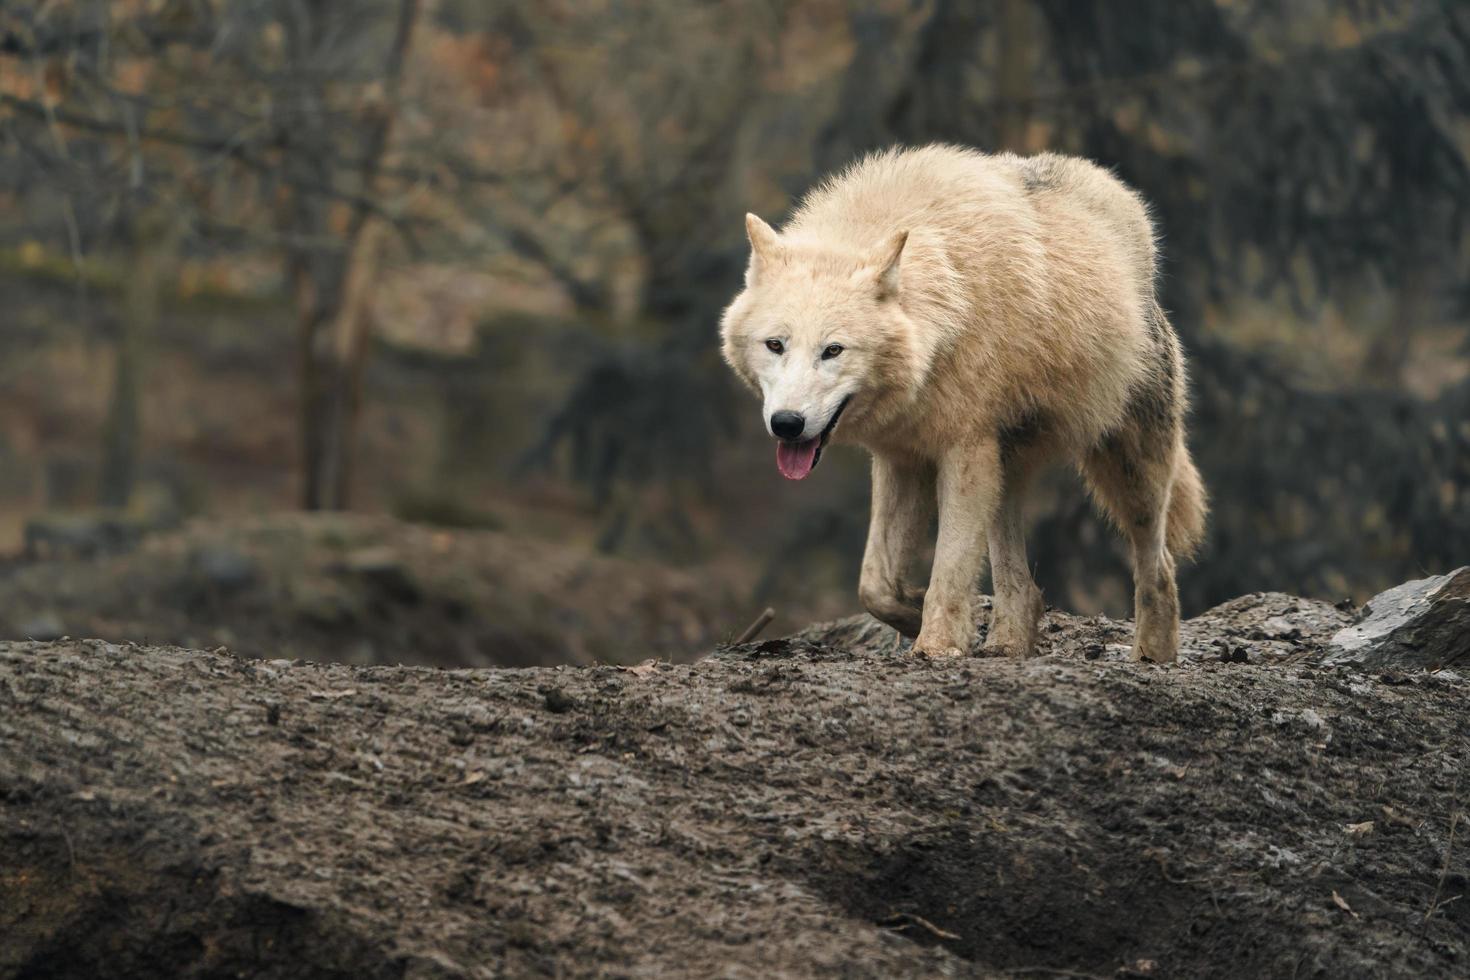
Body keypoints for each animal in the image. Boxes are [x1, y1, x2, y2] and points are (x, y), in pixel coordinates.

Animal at [720, 145, 1205, 664]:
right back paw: (1008, 643)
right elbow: (875, 585)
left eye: (833, 350)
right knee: (1023, 584)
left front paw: (936, 645)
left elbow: (949, 570)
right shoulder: (901, 457)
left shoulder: (964, 451)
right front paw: (914, 616)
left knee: (1158, 564)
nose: (787, 424)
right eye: (775, 345)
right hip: (1006, 467)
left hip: (1128, 469)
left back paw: (1153, 652)